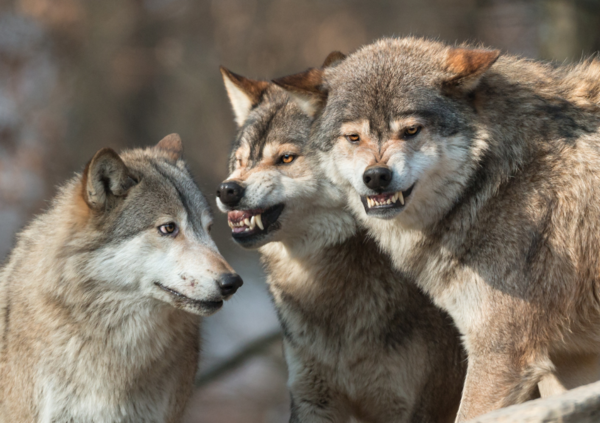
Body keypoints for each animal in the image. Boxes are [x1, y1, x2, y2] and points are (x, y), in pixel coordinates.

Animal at [274, 38, 600, 422]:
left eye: (411, 130)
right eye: (353, 137)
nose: (376, 176)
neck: (496, 181)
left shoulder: (501, 353)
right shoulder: (568, 361)